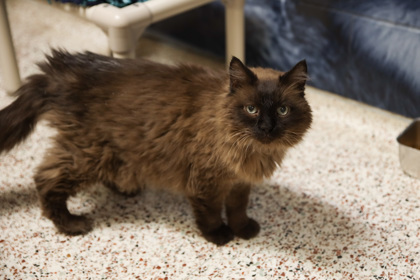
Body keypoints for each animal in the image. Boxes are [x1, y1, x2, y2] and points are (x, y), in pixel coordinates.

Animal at [0, 50, 312, 245]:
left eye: (282, 110)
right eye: (251, 109)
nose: (267, 128)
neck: (253, 153)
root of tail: (59, 69)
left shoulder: (238, 183)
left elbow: (237, 209)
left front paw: (243, 230)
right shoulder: (206, 182)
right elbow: (211, 212)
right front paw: (219, 236)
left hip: (112, 152)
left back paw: (125, 190)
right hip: (87, 155)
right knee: (45, 179)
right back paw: (72, 225)